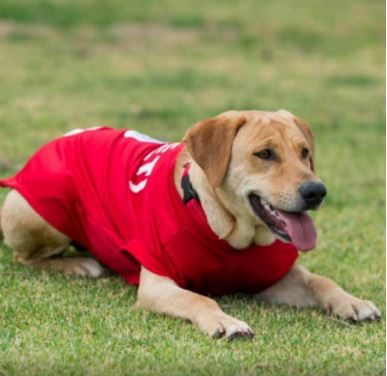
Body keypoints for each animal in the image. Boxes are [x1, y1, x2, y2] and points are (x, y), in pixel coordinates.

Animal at [0, 110, 382, 340]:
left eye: (304, 153)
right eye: (265, 154)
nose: (316, 191)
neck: (227, 234)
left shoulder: (275, 278)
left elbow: (320, 280)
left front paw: (351, 302)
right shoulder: (157, 285)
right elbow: (200, 299)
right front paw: (225, 321)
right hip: (39, 214)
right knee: (26, 257)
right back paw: (78, 264)